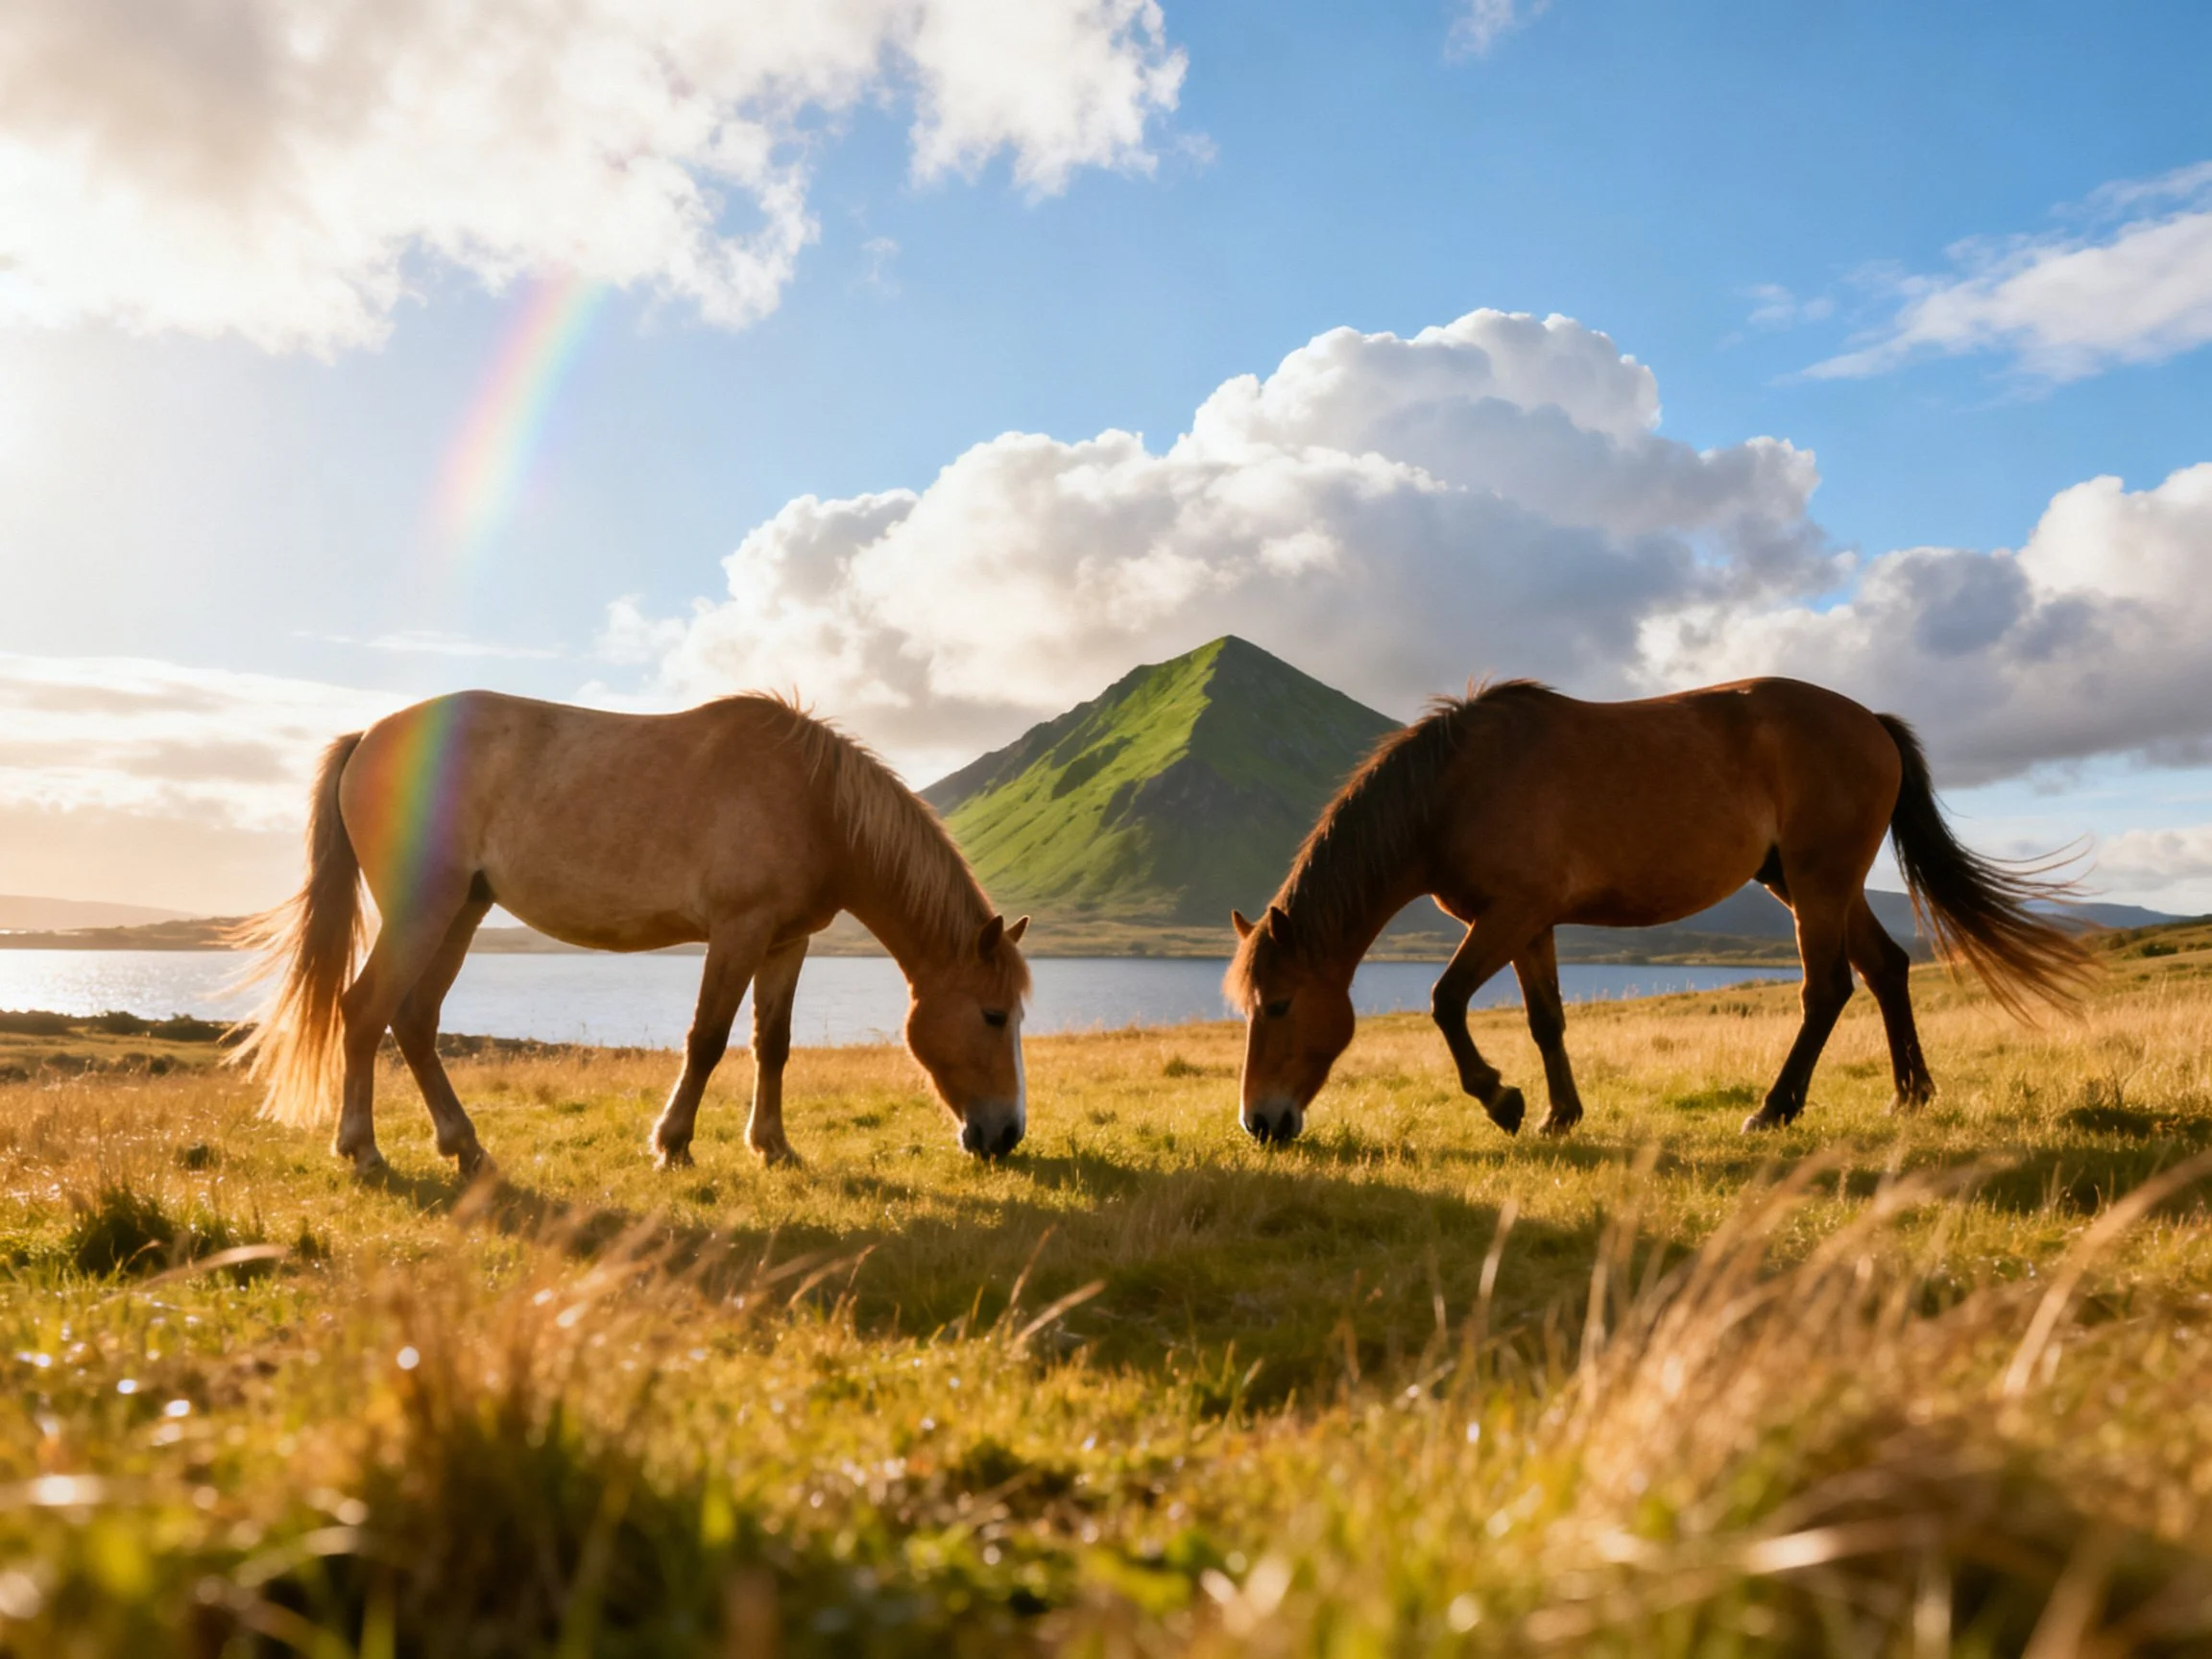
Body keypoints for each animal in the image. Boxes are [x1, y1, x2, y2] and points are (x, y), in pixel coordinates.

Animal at [234, 691, 1032, 1177]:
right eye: (993, 1015)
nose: (1006, 1135)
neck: (814, 800)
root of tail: (369, 735)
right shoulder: (737, 931)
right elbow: (707, 1039)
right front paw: (672, 1144)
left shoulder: (786, 941)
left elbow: (772, 1044)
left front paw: (772, 1145)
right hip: (422, 910)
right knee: (366, 1011)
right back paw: (363, 1150)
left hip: (461, 910)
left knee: (415, 1020)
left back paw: (464, 1147)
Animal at [1226, 677, 2092, 1144]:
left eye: (1279, 1005)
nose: (1259, 1124)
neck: (1453, 787)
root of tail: (1869, 723)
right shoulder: (1530, 924)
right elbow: (1545, 1020)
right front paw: (1560, 1114)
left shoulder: (1506, 914)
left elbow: (1444, 1001)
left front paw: (1503, 1101)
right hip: (1814, 884)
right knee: (1886, 971)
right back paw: (1909, 1095)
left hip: (1818, 883)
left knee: (1827, 990)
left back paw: (1773, 1111)